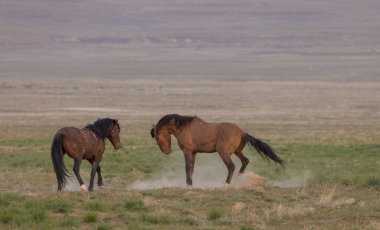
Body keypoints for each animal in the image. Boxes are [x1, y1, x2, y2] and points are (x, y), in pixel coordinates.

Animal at [150, 114, 284, 186]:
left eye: (157, 137)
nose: (167, 151)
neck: (184, 127)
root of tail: (241, 132)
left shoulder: (187, 151)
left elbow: (188, 166)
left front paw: (188, 183)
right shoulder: (193, 152)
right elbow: (192, 167)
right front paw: (190, 183)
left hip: (224, 153)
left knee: (231, 166)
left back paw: (227, 184)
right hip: (237, 151)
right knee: (245, 161)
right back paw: (241, 177)